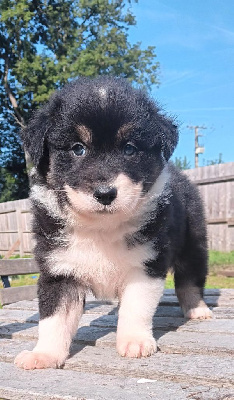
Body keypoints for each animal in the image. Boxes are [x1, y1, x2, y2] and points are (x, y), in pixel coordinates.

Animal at [14, 76, 212, 370]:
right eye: (78, 149)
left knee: (190, 280)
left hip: (193, 243)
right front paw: (44, 354)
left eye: (129, 148)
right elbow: (54, 318)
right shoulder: (59, 269)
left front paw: (135, 342)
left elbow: (136, 307)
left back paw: (198, 310)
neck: (101, 227)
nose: (105, 193)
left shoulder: (147, 264)